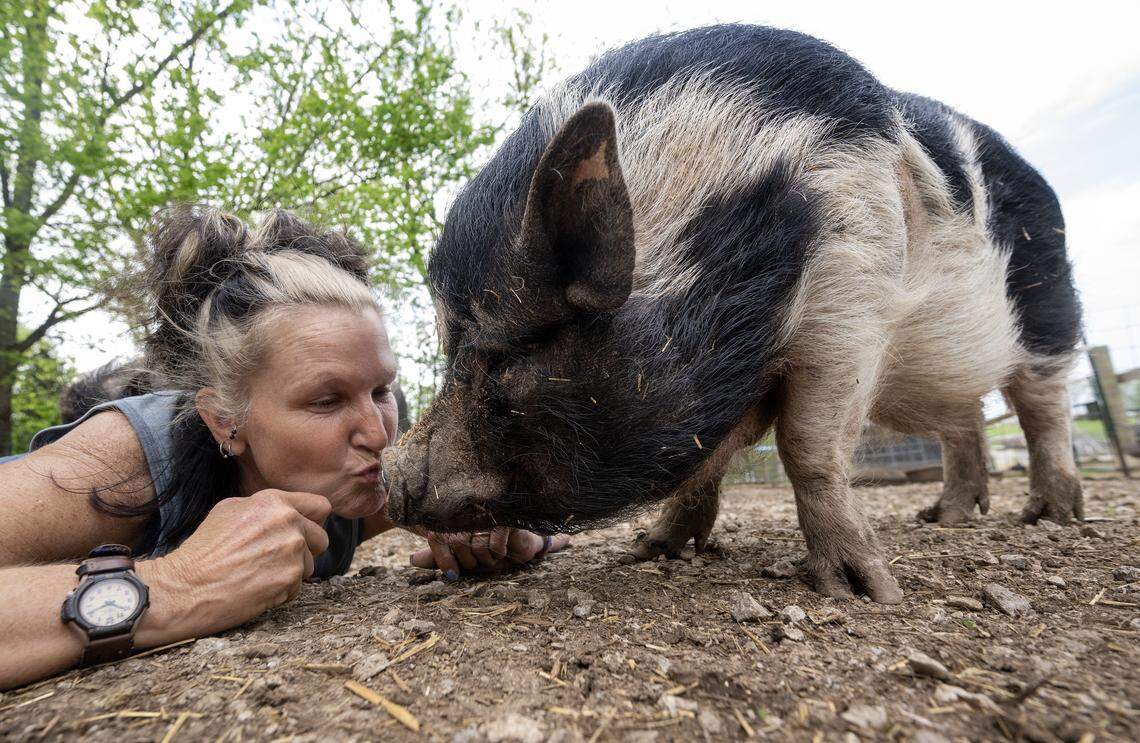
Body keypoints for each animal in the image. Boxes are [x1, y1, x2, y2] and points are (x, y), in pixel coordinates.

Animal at [383, 24, 1082, 603]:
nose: (389, 474)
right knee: (965, 421)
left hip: (1050, 305)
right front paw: (648, 552)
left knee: (1042, 405)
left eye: (505, 355)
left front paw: (865, 592)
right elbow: (709, 460)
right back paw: (944, 518)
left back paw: (1052, 517)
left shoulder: (849, 310)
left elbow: (808, 445)